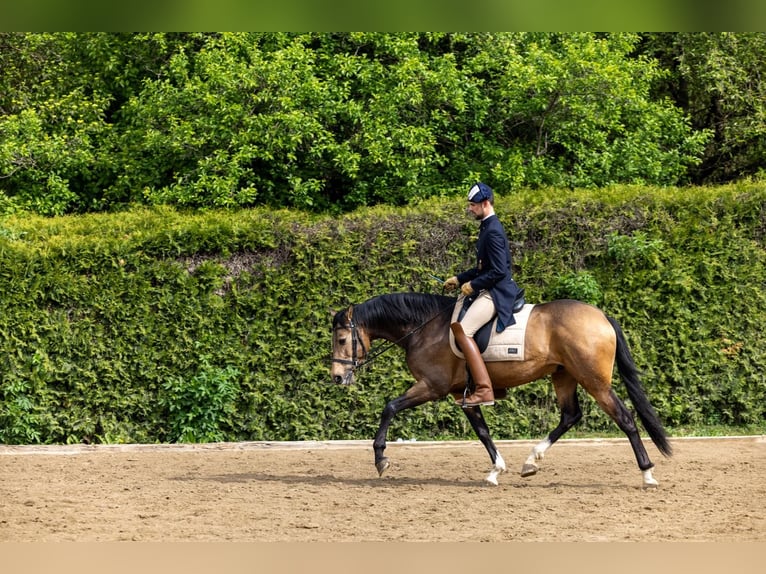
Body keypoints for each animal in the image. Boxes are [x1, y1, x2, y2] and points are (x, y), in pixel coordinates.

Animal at [330, 294, 672, 488]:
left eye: (343, 340)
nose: (337, 377)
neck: (424, 327)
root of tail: (600, 316)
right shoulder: (462, 394)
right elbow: (482, 432)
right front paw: (496, 470)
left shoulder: (432, 386)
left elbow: (389, 406)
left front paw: (380, 459)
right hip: (564, 376)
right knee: (570, 416)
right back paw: (531, 461)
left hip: (594, 382)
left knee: (625, 419)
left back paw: (647, 474)